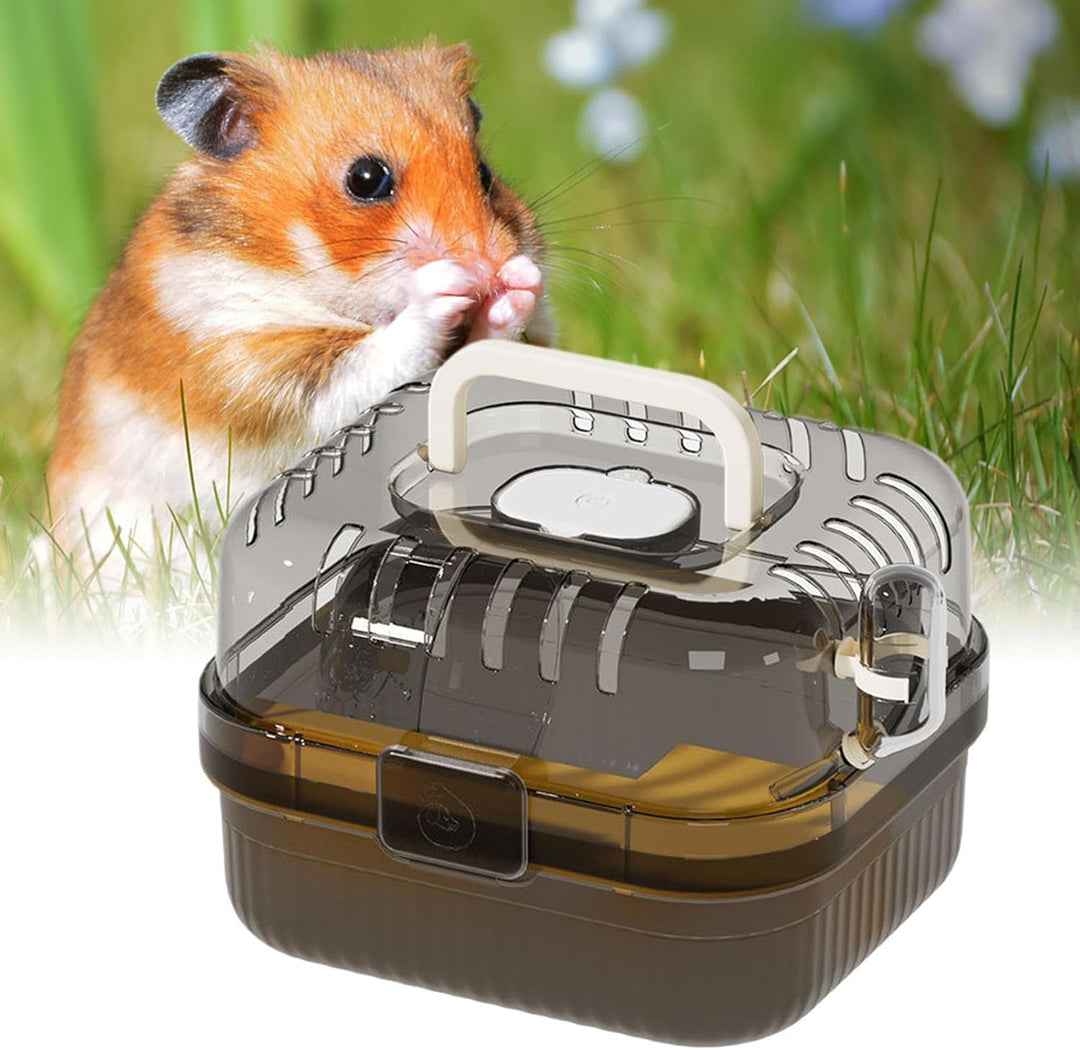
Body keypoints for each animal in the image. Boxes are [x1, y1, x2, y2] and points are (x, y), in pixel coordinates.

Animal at [47, 43, 550, 561]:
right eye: (366, 178)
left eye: (485, 175)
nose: (490, 267)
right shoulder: (255, 369)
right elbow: (377, 357)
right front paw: (445, 286)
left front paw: (519, 285)